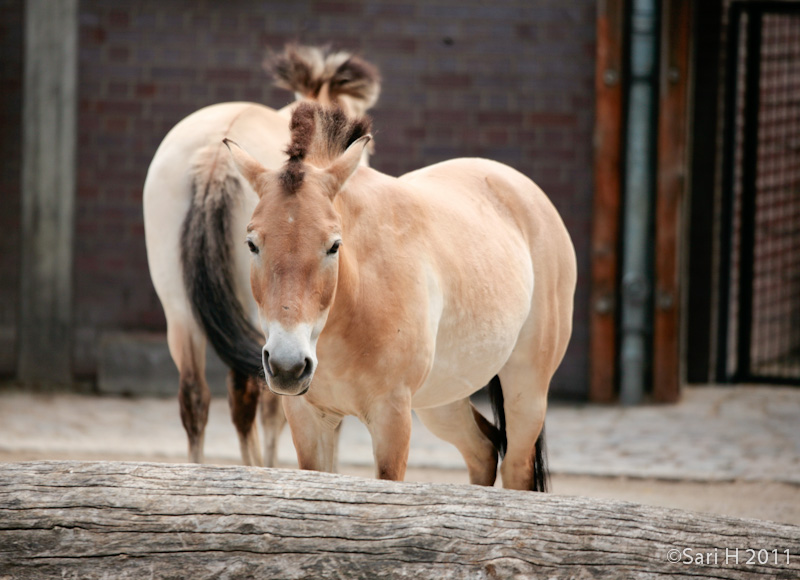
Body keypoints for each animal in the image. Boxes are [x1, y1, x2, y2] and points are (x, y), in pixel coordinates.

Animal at [225, 104, 576, 490]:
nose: (287, 366)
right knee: (483, 449)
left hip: (526, 392)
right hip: (442, 401)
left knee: (517, 469)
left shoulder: (391, 418)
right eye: (252, 244)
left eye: (334, 245)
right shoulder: (308, 417)